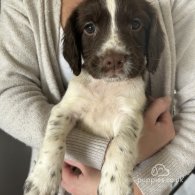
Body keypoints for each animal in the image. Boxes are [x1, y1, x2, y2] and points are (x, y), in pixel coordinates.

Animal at [24, 0, 165, 195]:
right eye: (89, 28)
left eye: (136, 24)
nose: (114, 60)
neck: (106, 87)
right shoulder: (65, 108)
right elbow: (54, 137)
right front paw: (42, 179)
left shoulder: (130, 114)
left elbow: (120, 143)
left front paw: (115, 184)